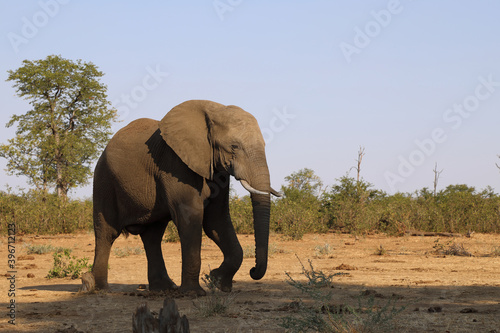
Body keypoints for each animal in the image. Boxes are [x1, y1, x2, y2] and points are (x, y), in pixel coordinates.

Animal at [93, 99, 282, 296]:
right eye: (234, 147)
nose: (253, 271)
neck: (214, 110)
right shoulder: (175, 163)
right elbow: (190, 217)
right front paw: (194, 293)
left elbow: (216, 220)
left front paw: (217, 281)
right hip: (104, 180)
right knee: (107, 232)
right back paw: (98, 288)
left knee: (153, 236)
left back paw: (164, 288)